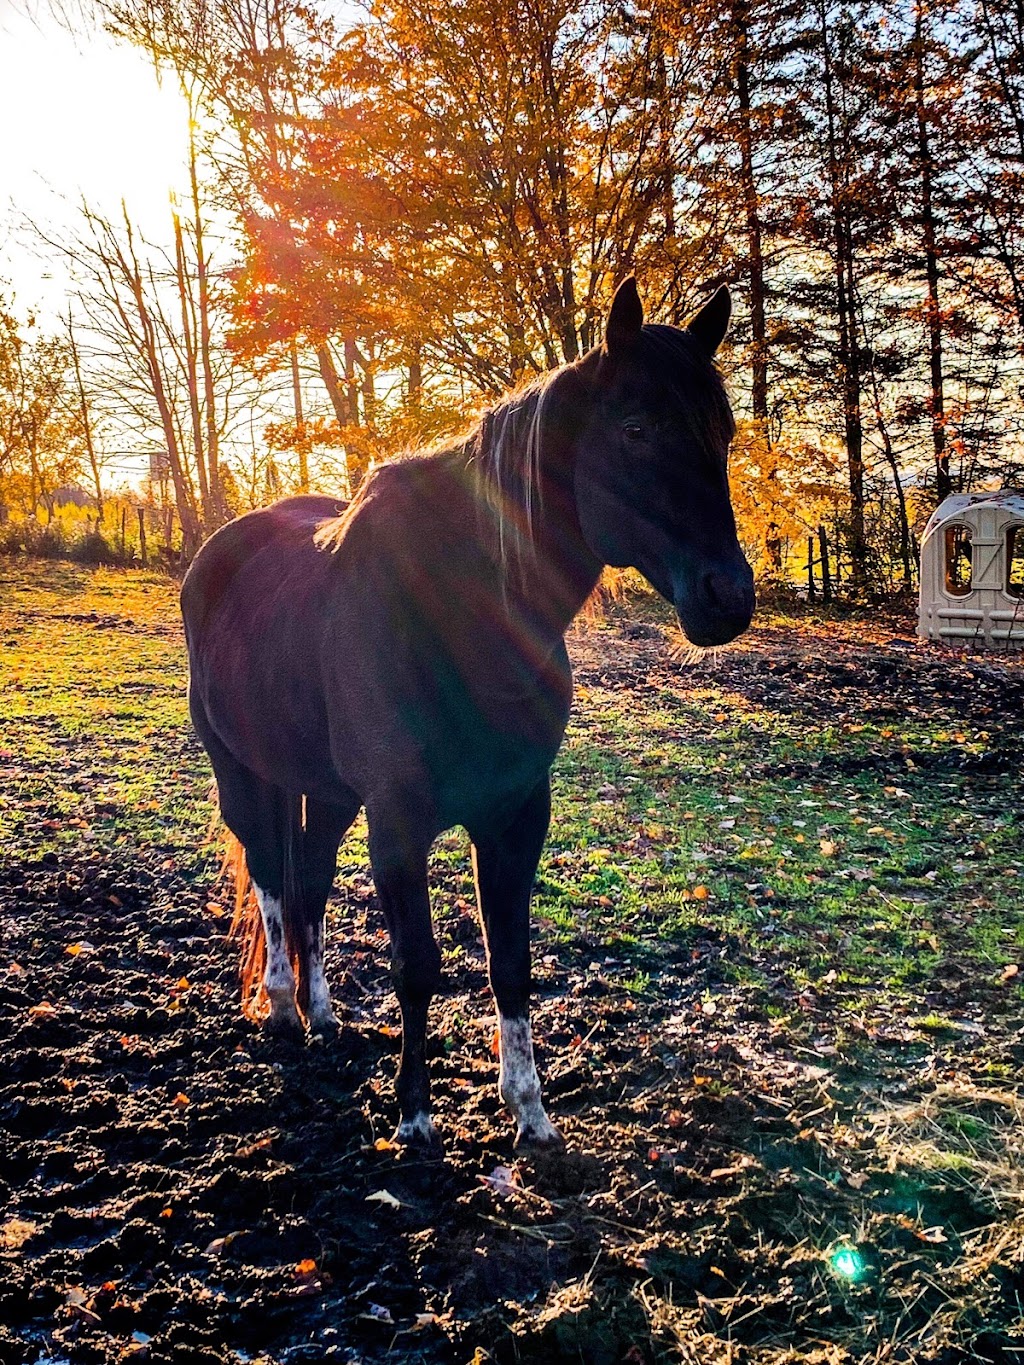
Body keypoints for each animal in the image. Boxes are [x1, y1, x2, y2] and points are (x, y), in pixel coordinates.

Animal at [180, 277, 753, 1152]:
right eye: (635, 428)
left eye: (723, 431)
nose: (729, 597)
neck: (463, 613)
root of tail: (217, 549)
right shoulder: (398, 816)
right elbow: (416, 964)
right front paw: (415, 1113)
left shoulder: (516, 812)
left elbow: (509, 961)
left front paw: (531, 1113)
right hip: (241, 771)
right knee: (273, 879)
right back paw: (280, 1005)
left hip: (328, 791)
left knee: (308, 882)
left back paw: (321, 1012)